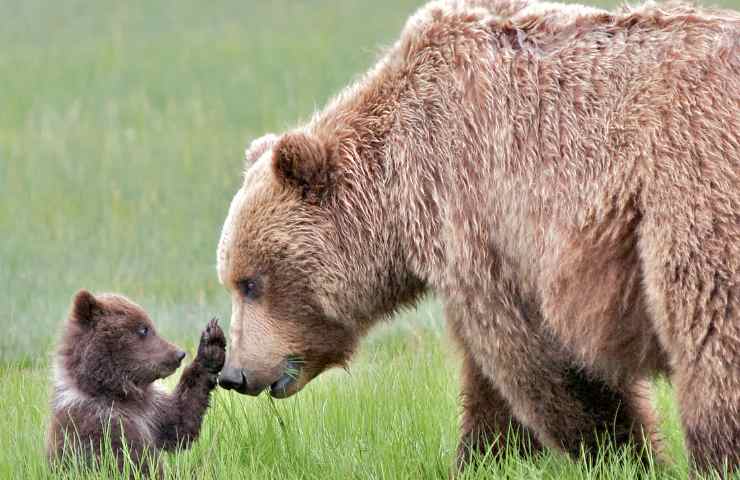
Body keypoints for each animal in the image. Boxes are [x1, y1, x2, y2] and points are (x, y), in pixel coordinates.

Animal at [217, 0, 736, 472]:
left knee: (710, 337)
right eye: (233, 280)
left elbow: (536, 355)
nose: (234, 373)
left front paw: (621, 453)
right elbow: (492, 387)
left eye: (251, 283)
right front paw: (486, 456)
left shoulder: (479, 210)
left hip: (690, 191)